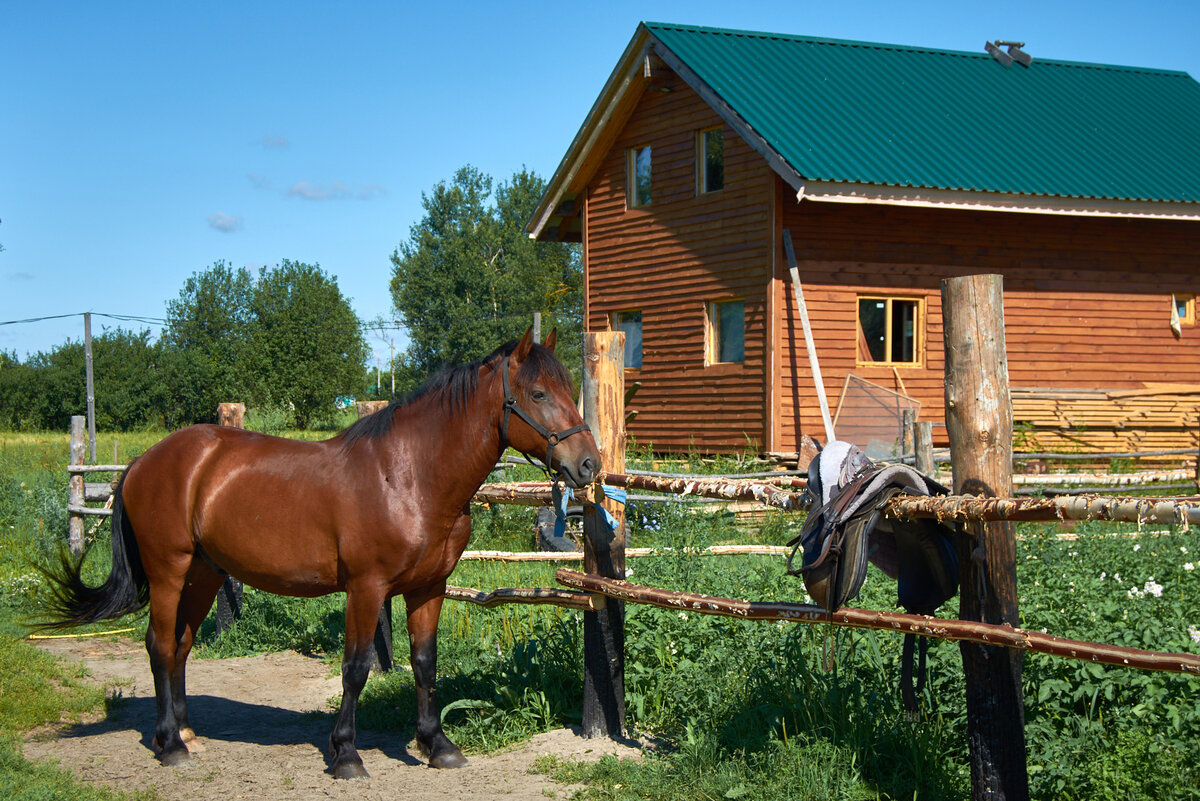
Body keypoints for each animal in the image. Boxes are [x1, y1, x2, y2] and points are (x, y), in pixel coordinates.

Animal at [37, 328, 600, 777]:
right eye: (538, 392)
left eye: (567, 390)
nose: (589, 464)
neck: (409, 475)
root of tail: (145, 460)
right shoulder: (366, 588)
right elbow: (355, 668)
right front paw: (346, 754)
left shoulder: (428, 587)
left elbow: (424, 662)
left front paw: (436, 745)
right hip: (169, 572)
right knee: (157, 646)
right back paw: (171, 745)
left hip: (203, 574)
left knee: (180, 646)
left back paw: (185, 733)